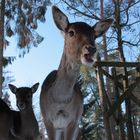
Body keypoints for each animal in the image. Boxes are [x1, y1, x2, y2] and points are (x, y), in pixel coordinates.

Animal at [39, 5, 112, 140]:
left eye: (94, 35)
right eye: (71, 32)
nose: (91, 49)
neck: (61, 101)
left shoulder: (73, 121)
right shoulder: (47, 120)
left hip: (77, 127)